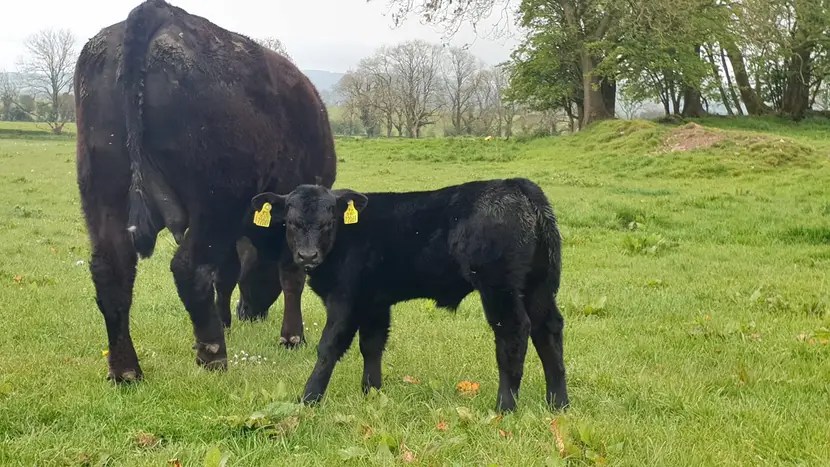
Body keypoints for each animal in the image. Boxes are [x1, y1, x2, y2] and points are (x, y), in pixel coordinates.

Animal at [74, 0, 336, 383]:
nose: (247, 313)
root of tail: (161, 12)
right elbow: (292, 274)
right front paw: (292, 337)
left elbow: (227, 273)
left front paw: (225, 319)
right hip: (214, 201)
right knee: (189, 269)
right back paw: (213, 355)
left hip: (104, 192)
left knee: (112, 271)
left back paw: (126, 370)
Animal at [249, 178, 569, 412]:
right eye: (291, 223)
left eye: (328, 222)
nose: (307, 256)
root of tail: (515, 185)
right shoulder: (374, 302)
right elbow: (372, 345)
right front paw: (372, 393)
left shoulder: (344, 299)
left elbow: (329, 346)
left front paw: (309, 398)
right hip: (537, 285)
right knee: (548, 329)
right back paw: (558, 403)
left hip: (498, 286)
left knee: (513, 332)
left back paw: (505, 406)